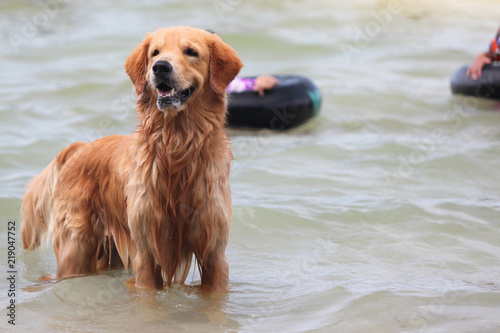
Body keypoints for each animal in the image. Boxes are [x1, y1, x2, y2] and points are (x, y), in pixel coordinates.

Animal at [20, 26, 243, 290]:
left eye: (191, 52)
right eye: (155, 52)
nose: (160, 67)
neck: (176, 148)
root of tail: (80, 148)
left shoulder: (213, 254)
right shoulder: (147, 251)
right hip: (76, 249)